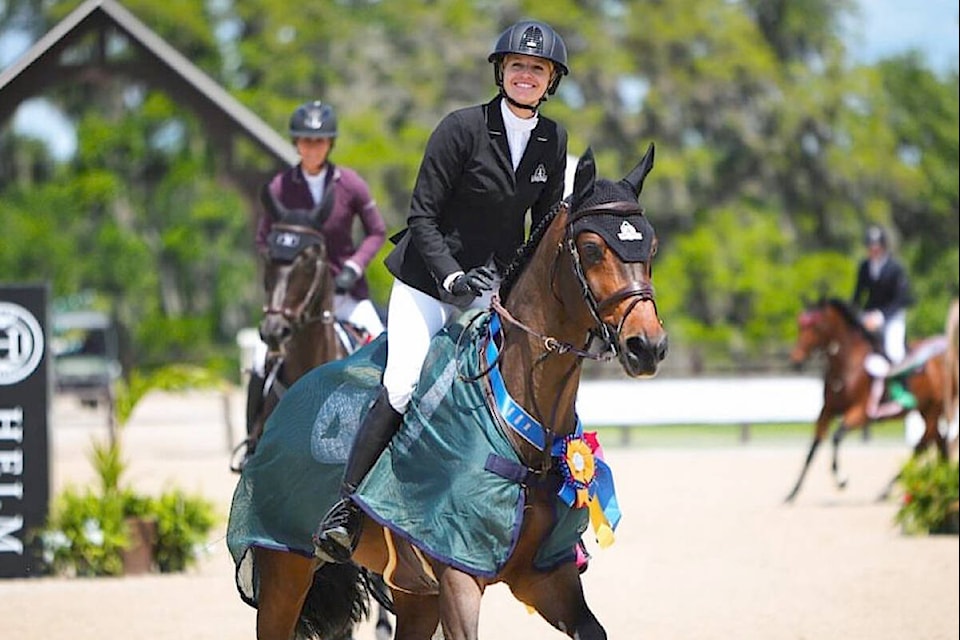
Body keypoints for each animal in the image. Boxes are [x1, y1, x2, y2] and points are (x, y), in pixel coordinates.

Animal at [227, 145, 668, 640]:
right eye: (591, 249)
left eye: (650, 247)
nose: (647, 346)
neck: (518, 417)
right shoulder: (458, 578)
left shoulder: (547, 579)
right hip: (284, 571)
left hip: (413, 590)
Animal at [784, 298, 948, 502]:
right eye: (800, 326)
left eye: (816, 326)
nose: (796, 360)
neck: (846, 365)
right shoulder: (827, 411)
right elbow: (812, 449)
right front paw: (792, 493)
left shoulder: (861, 412)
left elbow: (836, 437)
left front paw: (841, 480)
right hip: (926, 410)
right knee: (937, 441)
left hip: (933, 410)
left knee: (922, 445)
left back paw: (888, 489)